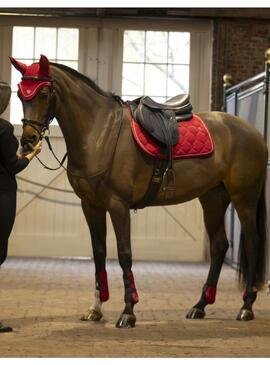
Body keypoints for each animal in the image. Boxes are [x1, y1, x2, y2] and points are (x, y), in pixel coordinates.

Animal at [10, 54, 268, 328]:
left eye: (44, 93)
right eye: (20, 94)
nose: (27, 141)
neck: (100, 132)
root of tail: (254, 133)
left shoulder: (118, 205)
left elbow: (124, 254)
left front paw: (128, 310)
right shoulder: (91, 206)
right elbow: (99, 252)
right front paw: (95, 308)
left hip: (244, 200)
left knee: (252, 244)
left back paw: (246, 306)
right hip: (212, 198)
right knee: (219, 245)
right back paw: (200, 306)